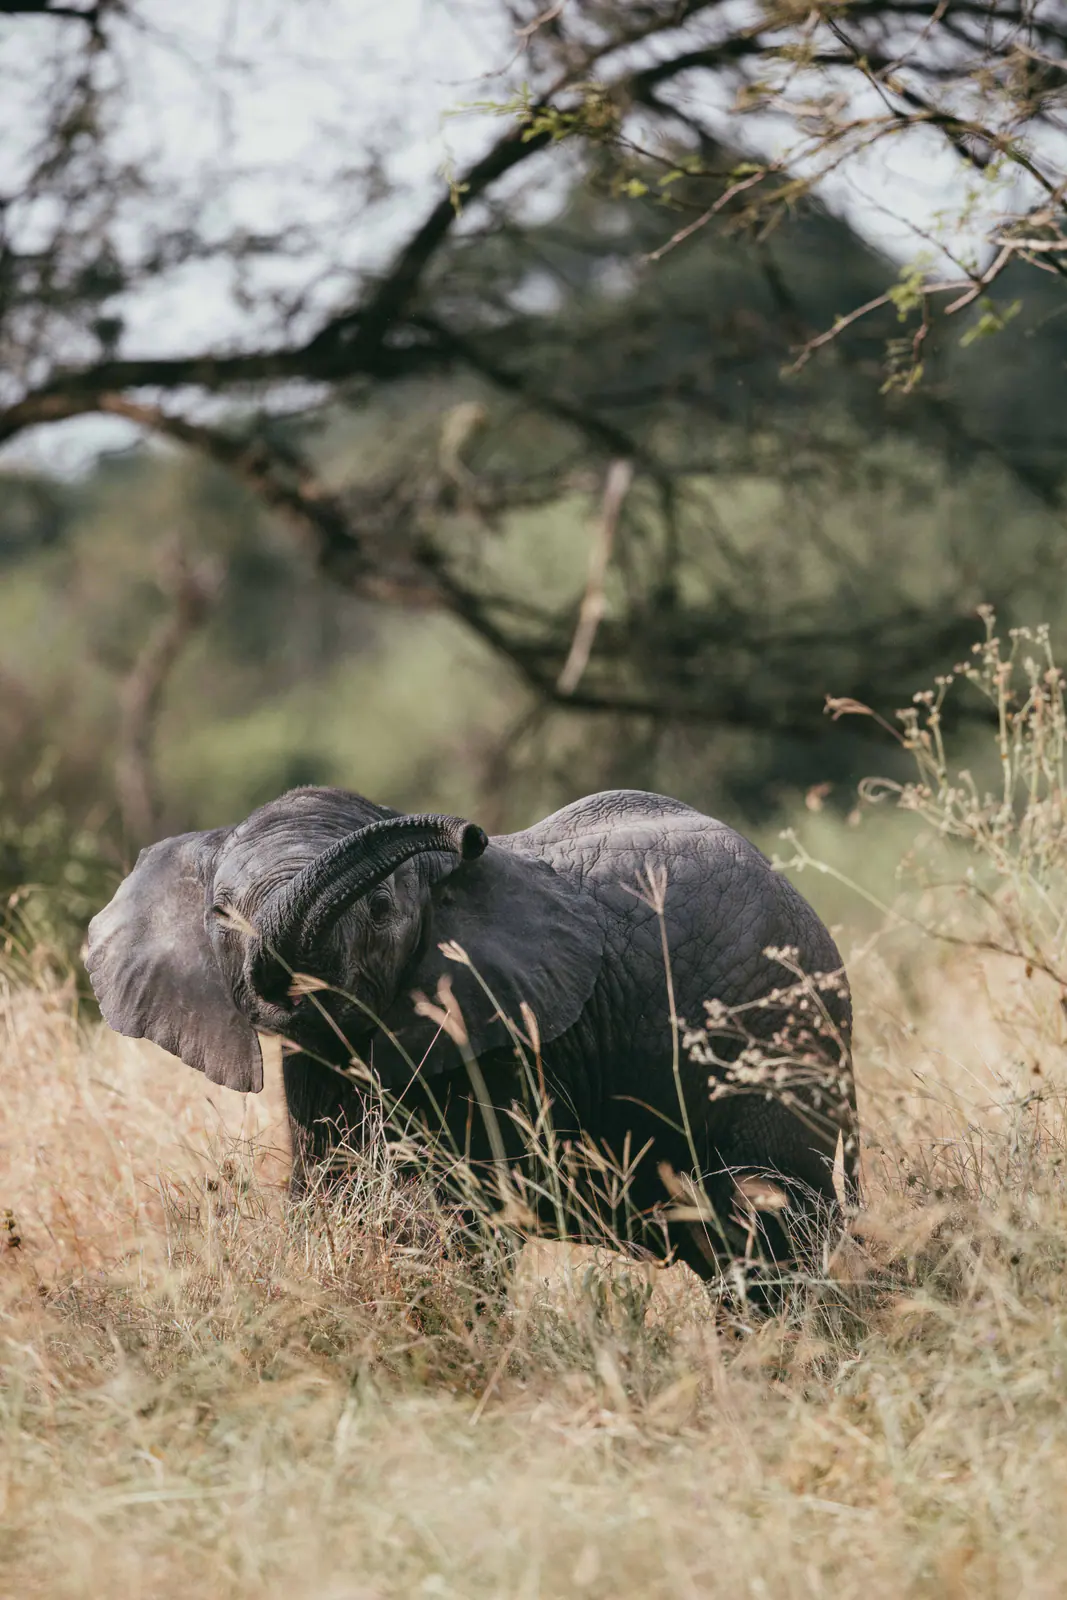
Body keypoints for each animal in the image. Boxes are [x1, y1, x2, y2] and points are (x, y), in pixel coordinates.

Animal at [85, 786, 857, 1285]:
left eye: (379, 908)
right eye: (220, 915)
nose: (467, 834)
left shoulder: (504, 1039)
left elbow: (452, 1217)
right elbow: (326, 1187)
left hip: (778, 1032)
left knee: (773, 1232)